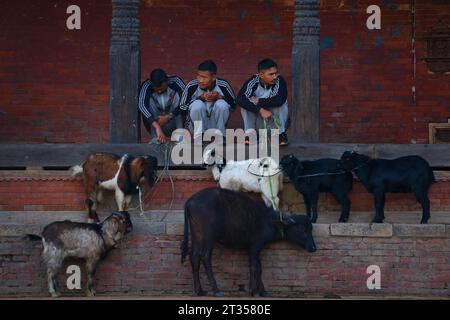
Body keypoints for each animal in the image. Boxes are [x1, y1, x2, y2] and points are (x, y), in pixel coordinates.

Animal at [180, 188, 316, 298]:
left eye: (310, 229)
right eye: (302, 229)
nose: (313, 248)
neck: (269, 221)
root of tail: (190, 201)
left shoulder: (253, 248)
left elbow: (258, 267)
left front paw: (262, 291)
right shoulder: (256, 246)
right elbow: (254, 267)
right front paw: (254, 291)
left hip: (197, 234)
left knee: (194, 256)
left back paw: (199, 291)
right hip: (209, 236)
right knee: (205, 256)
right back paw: (216, 290)